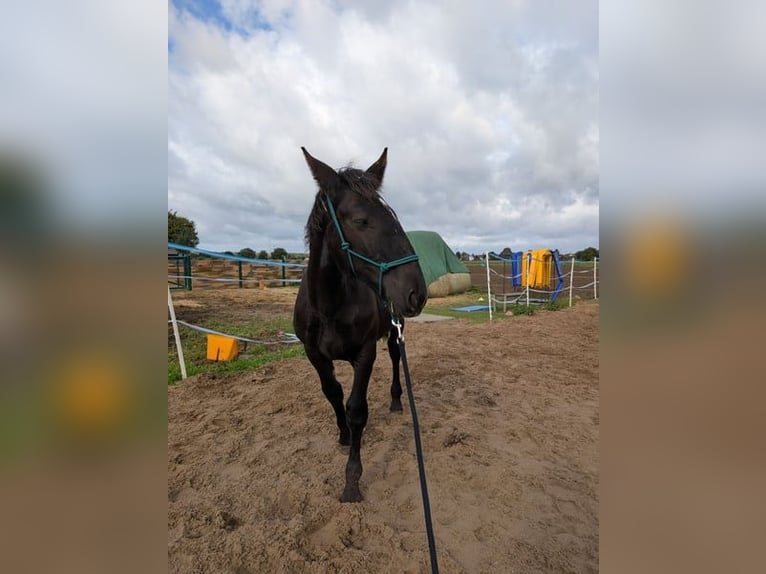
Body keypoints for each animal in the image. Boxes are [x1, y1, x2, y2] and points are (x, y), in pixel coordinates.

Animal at [293, 147, 428, 503]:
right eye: (361, 221)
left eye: (394, 218)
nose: (417, 292)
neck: (329, 308)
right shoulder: (315, 355)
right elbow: (333, 393)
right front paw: (342, 436)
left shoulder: (365, 354)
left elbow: (357, 410)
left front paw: (352, 480)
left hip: (395, 330)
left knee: (395, 358)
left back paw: (396, 401)